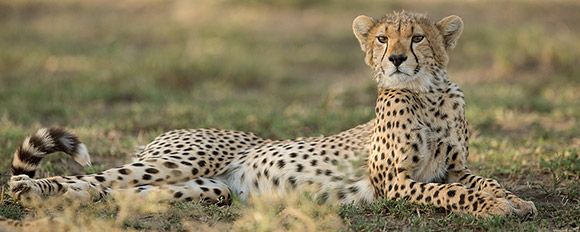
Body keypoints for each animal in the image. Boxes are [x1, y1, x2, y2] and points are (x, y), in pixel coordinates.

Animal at [5, 11, 540, 225]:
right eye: (383, 38)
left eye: (419, 38)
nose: (396, 59)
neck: (427, 94)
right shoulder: (396, 181)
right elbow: (451, 194)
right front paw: (497, 208)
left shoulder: (454, 166)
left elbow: (480, 181)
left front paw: (513, 201)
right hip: (174, 162)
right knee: (87, 180)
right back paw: (30, 191)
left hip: (207, 188)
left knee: (112, 193)